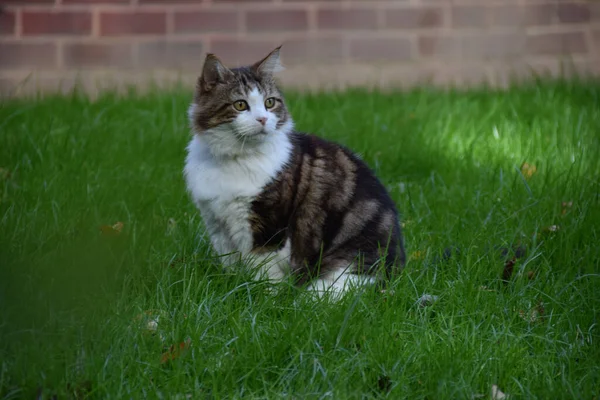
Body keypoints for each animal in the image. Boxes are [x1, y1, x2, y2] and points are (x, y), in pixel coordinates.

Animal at [183, 47, 408, 296]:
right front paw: (232, 288)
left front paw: (263, 298)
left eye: (270, 102)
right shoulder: (217, 225)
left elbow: (264, 272)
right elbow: (230, 264)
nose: (263, 119)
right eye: (240, 105)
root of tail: (396, 274)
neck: (235, 159)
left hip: (342, 271)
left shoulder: (268, 229)